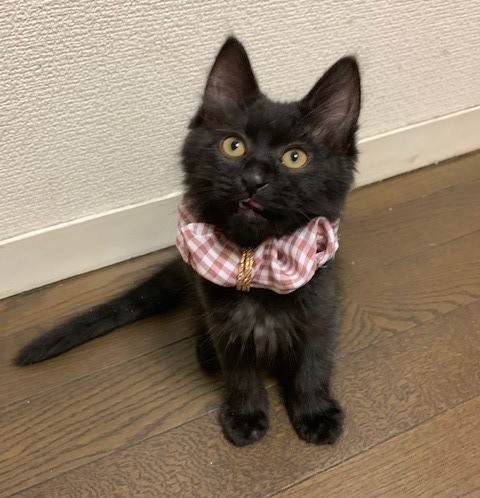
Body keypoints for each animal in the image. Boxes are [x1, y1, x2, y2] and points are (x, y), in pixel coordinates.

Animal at [16, 37, 361, 447]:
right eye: (233, 146)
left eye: (295, 157)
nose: (253, 178)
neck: (257, 260)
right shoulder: (223, 318)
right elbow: (239, 370)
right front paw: (246, 415)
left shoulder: (321, 307)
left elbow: (313, 363)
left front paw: (314, 412)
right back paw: (205, 351)